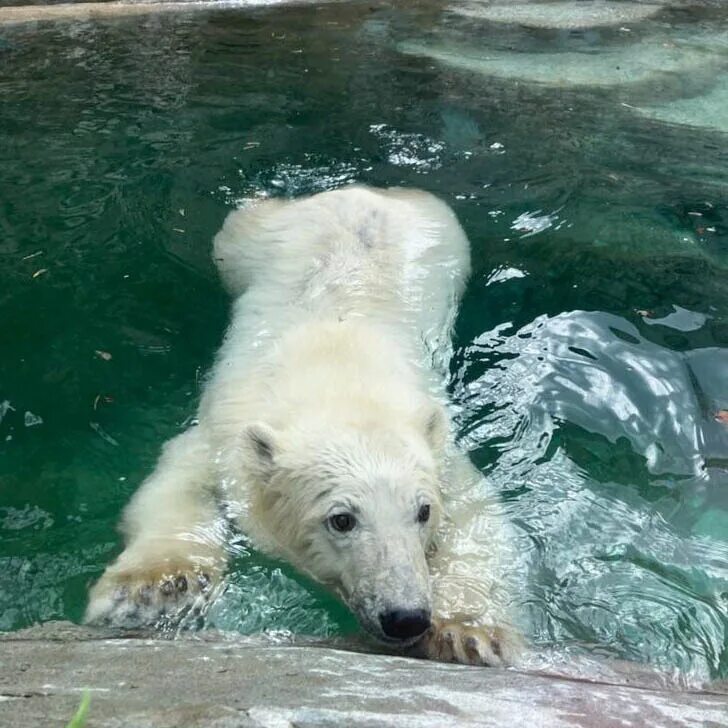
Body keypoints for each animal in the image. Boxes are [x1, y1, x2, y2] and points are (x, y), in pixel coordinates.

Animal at [85, 186, 520, 664]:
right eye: (341, 520)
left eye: (423, 511)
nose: (404, 616)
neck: (339, 386)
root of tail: (358, 189)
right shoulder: (222, 436)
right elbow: (177, 482)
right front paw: (152, 593)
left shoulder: (438, 452)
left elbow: (477, 517)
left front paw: (470, 634)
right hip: (245, 241)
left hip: (444, 237)